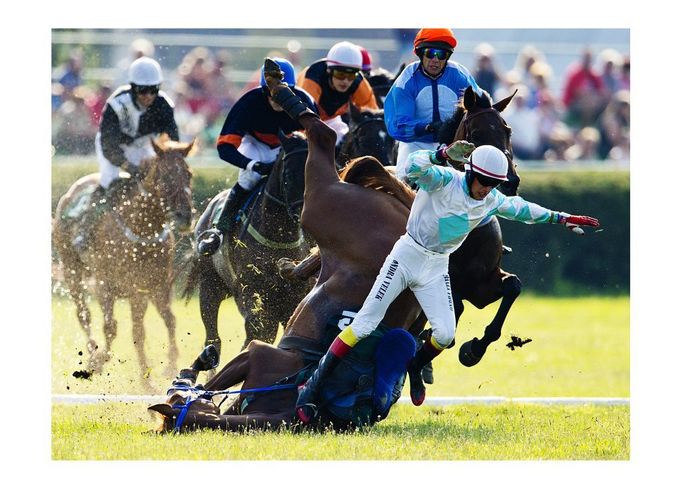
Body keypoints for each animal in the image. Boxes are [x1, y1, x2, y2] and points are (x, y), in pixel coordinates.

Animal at [53, 135, 194, 386]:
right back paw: (92, 353)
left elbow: (165, 322)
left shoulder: (153, 286)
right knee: (83, 314)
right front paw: (100, 361)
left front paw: (168, 368)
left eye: (189, 174)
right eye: (165, 176)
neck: (141, 227)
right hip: (71, 269)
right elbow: (112, 328)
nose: (185, 216)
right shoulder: (106, 285)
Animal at [183, 130, 316, 358]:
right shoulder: (253, 295)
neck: (278, 237)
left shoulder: (294, 297)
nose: (306, 218)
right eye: (289, 176)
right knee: (213, 338)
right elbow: (260, 332)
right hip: (210, 285)